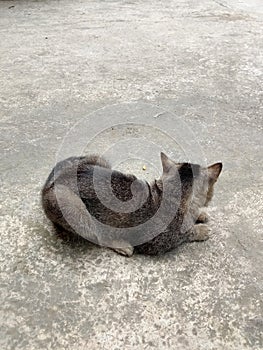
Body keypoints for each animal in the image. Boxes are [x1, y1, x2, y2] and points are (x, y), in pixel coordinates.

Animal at [41, 153, 223, 258]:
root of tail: (51, 183)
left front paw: (199, 214)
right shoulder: (158, 242)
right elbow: (185, 234)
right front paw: (200, 229)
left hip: (99, 159)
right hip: (74, 209)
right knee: (97, 235)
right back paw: (121, 246)